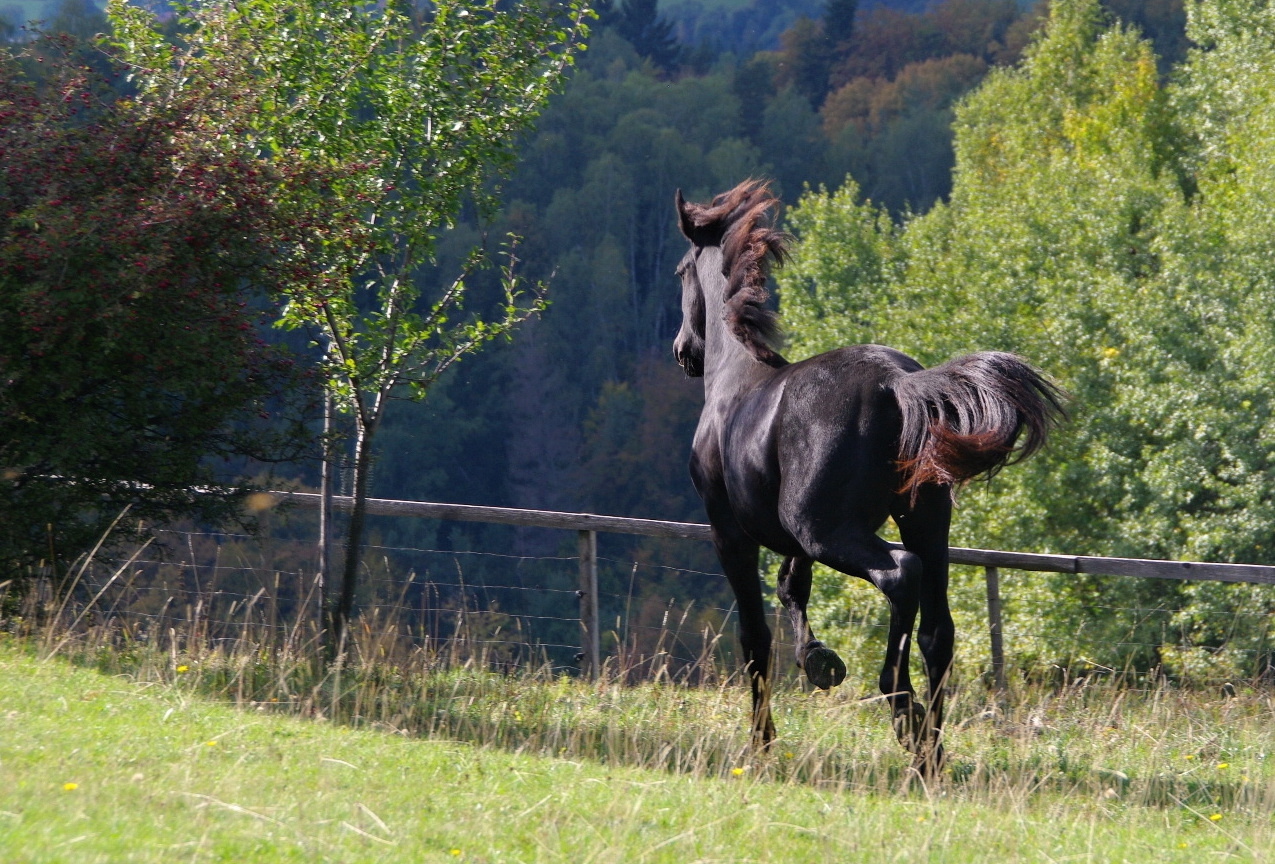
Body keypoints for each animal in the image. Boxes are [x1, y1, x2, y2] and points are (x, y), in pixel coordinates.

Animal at [678, 179, 1065, 774]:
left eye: (680, 272)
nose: (683, 352)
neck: (735, 383)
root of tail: (897, 385)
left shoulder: (731, 534)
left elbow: (754, 635)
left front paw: (762, 744)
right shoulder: (795, 539)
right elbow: (792, 587)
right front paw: (818, 661)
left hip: (834, 532)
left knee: (900, 576)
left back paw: (902, 708)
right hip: (924, 522)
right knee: (938, 629)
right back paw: (930, 749)